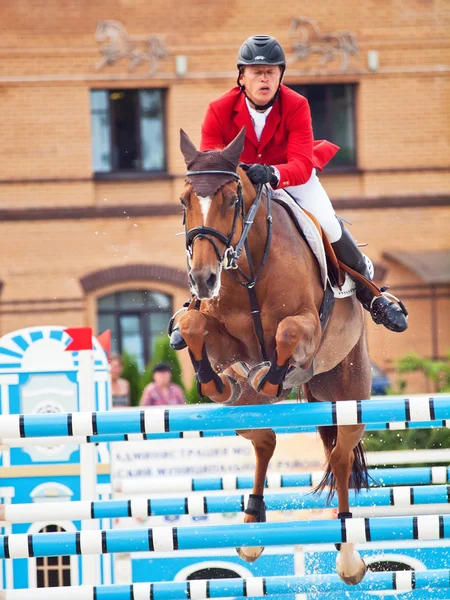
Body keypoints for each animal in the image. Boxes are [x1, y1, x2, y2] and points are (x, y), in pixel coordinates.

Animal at [178, 127, 370, 584]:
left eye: (232, 200)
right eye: (184, 200)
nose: (203, 279)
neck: (248, 264)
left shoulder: (308, 328)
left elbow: (286, 332)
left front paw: (273, 376)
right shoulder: (227, 340)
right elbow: (193, 325)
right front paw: (215, 381)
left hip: (349, 394)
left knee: (339, 457)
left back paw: (348, 555)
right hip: (249, 415)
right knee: (264, 440)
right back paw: (252, 528)